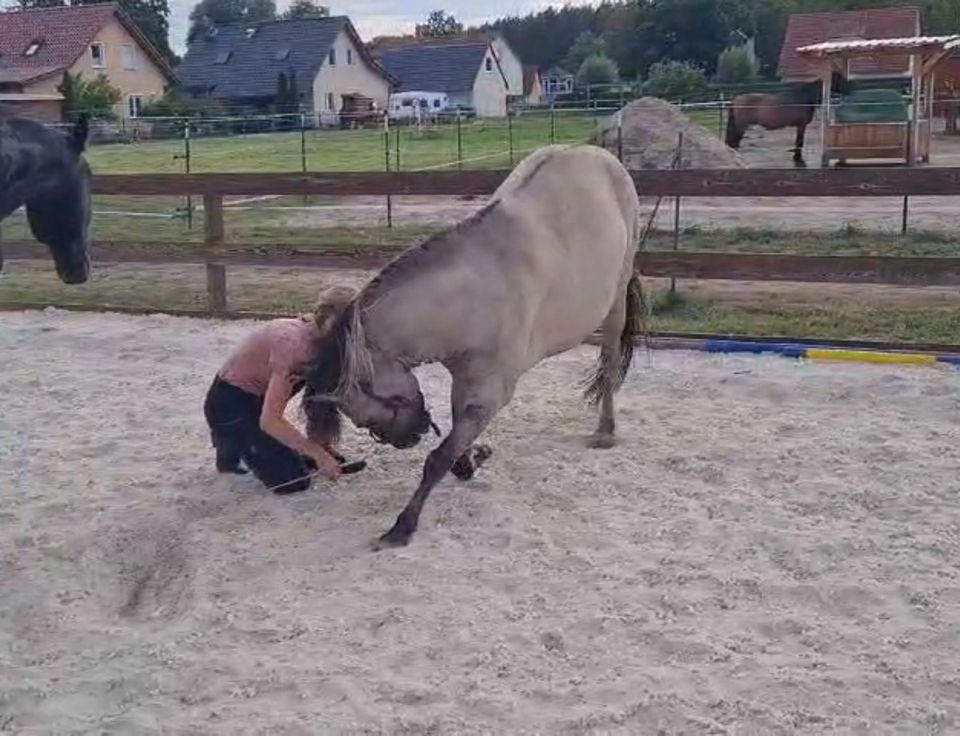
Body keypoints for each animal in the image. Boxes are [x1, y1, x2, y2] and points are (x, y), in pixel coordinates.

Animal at [304, 145, 640, 548]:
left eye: (367, 418)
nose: (409, 438)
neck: (472, 297)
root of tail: (599, 155)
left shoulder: (489, 395)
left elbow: (438, 458)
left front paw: (404, 524)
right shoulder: (463, 381)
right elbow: (456, 441)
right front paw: (471, 460)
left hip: (615, 301)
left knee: (610, 360)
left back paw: (606, 429)